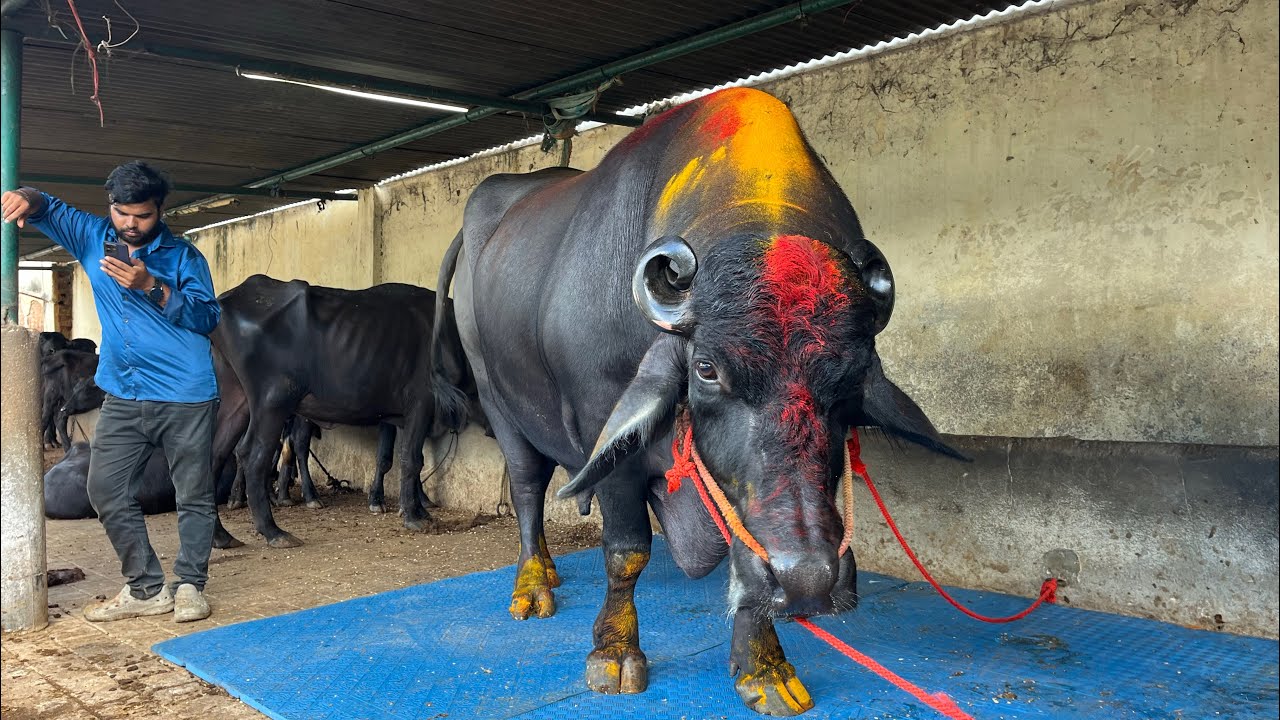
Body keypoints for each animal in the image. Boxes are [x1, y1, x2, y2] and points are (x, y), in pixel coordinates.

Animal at [213, 276, 478, 548]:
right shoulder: (421, 404)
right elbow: (411, 459)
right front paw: (413, 516)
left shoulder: (402, 417)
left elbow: (405, 458)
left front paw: (418, 508)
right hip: (272, 402)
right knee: (253, 455)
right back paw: (272, 530)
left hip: (237, 399)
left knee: (216, 452)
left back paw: (221, 535)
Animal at [430, 87, 963, 716]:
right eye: (706, 369)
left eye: (853, 382)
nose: (807, 580)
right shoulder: (603, 429)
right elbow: (626, 551)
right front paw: (614, 652)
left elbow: (743, 546)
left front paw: (764, 667)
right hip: (498, 401)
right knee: (527, 487)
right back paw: (534, 583)